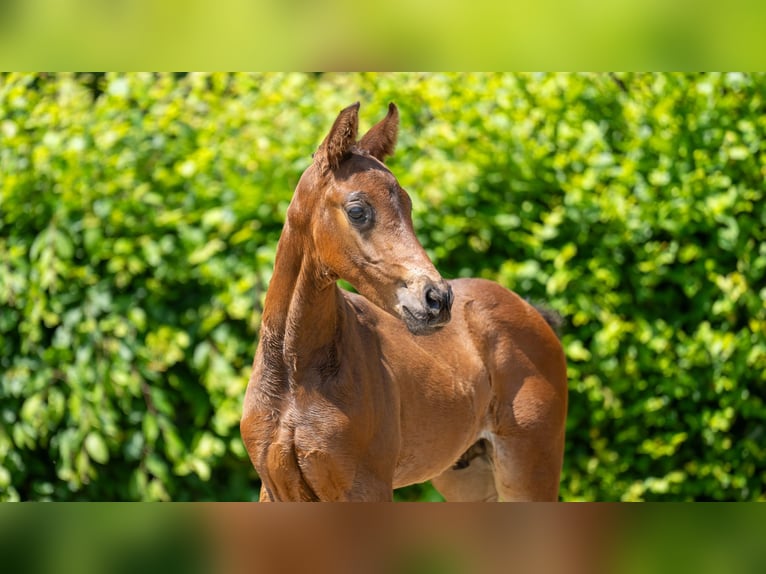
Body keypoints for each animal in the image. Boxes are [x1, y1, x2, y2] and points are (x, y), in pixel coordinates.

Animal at [242, 103, 568, 504]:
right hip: (470, 477)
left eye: (408, 206)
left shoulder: (366, 488)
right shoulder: (276, 489)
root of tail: (532, 313)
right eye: (357, 210)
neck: (296, 373)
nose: (438, 298)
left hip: (528, 469)